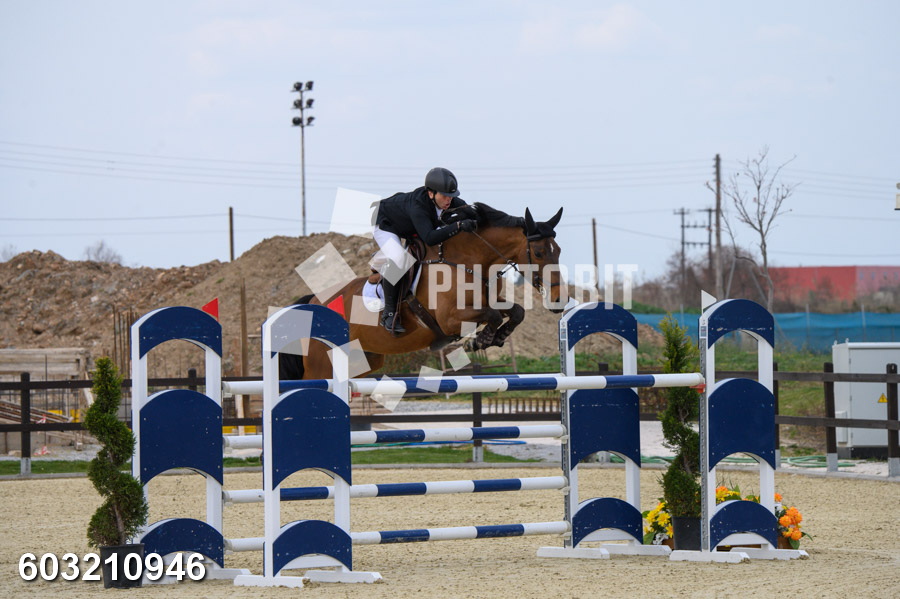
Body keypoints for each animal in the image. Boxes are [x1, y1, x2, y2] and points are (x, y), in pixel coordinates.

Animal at [280, 204, 566, 380]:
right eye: (539, 252)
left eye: (559, 250)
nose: (559, 301)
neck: (467, 262)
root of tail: (313, 302)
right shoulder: (451, 319)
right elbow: (492, 316)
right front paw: (479, 341)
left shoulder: (491, 301)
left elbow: (516, 312)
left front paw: (497, 337)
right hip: (321, 364)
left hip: (362, 360)